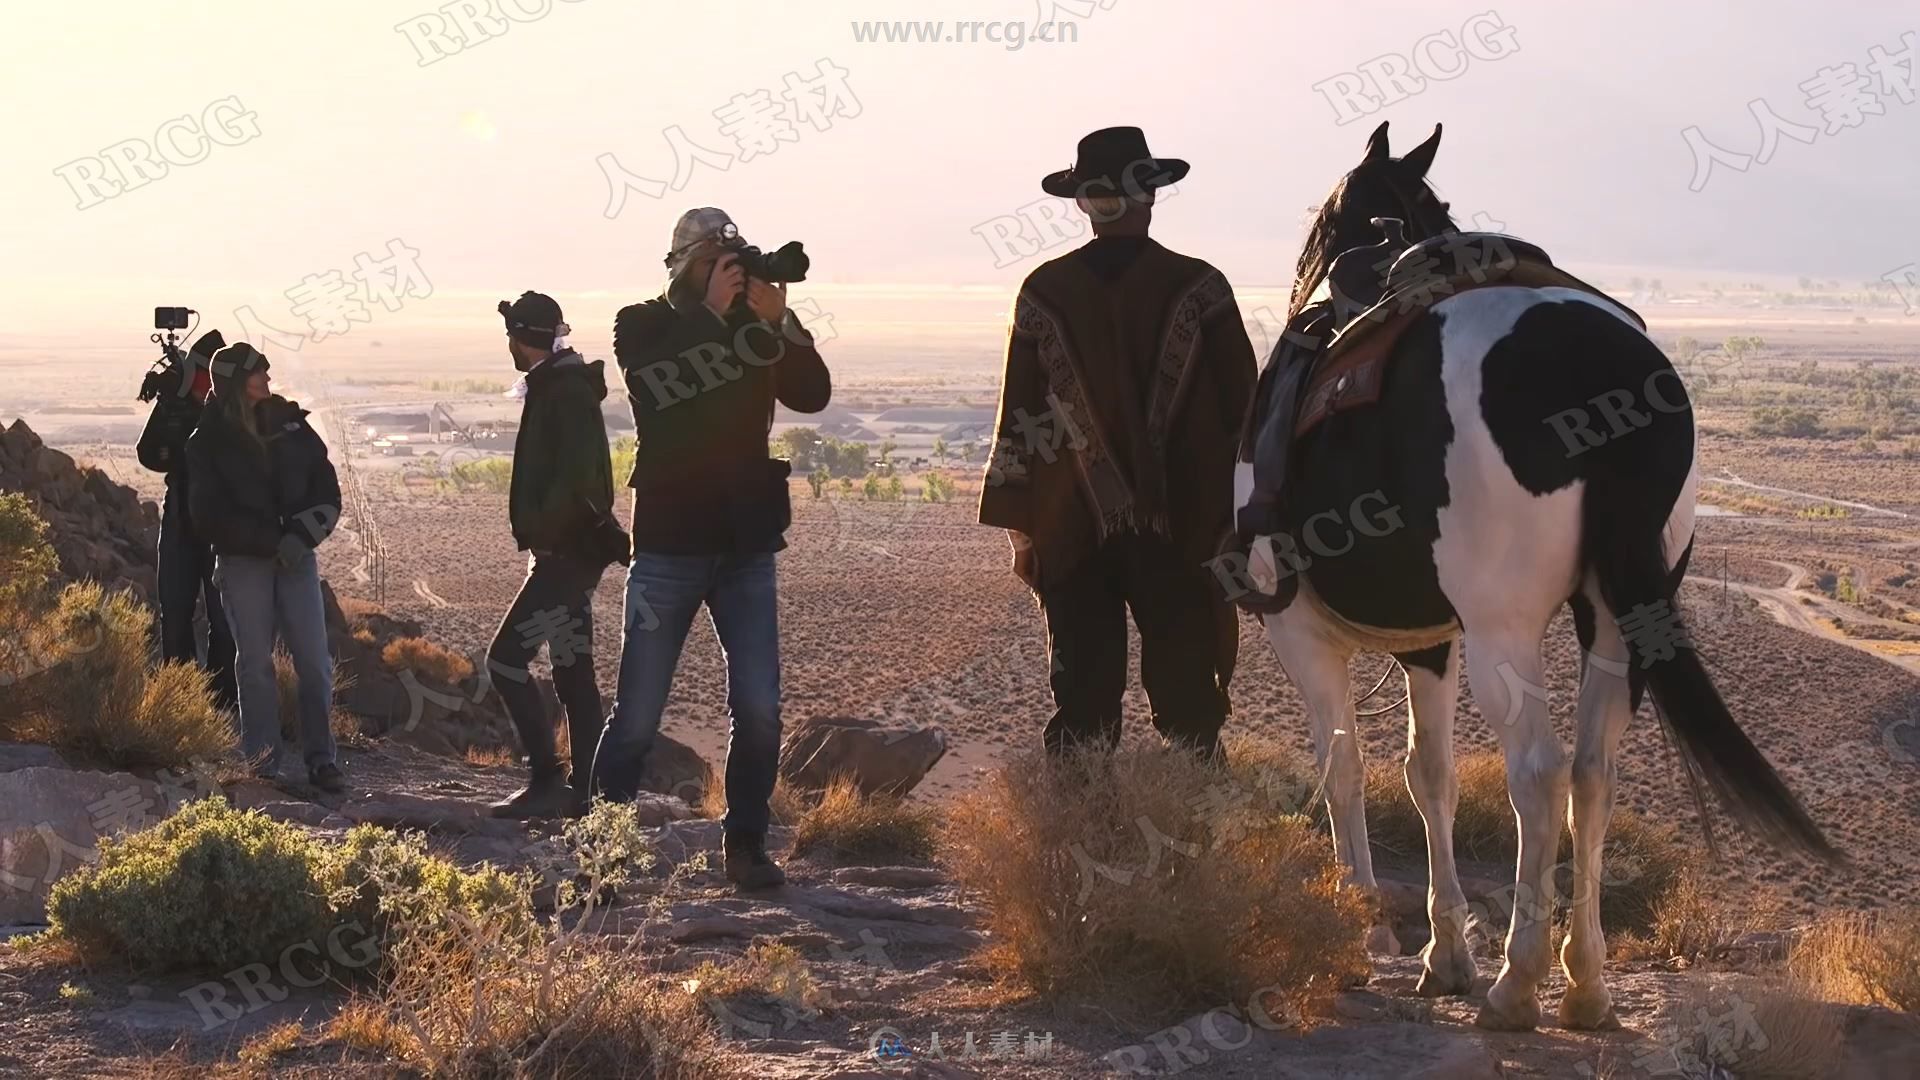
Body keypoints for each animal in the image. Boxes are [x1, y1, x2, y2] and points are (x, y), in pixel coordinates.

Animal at [1236, 117, 1835, 1022]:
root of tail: (1603, 371)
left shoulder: (1301, 631)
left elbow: (1345, 769)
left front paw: (1364, 924)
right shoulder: (1429, 643)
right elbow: (1430, 776)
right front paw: (1443, 953)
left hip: (1506, 628)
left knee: (1540, 774)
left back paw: (1519, 982)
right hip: (1617, 618)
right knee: (1593, 773)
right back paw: (1584, 982)